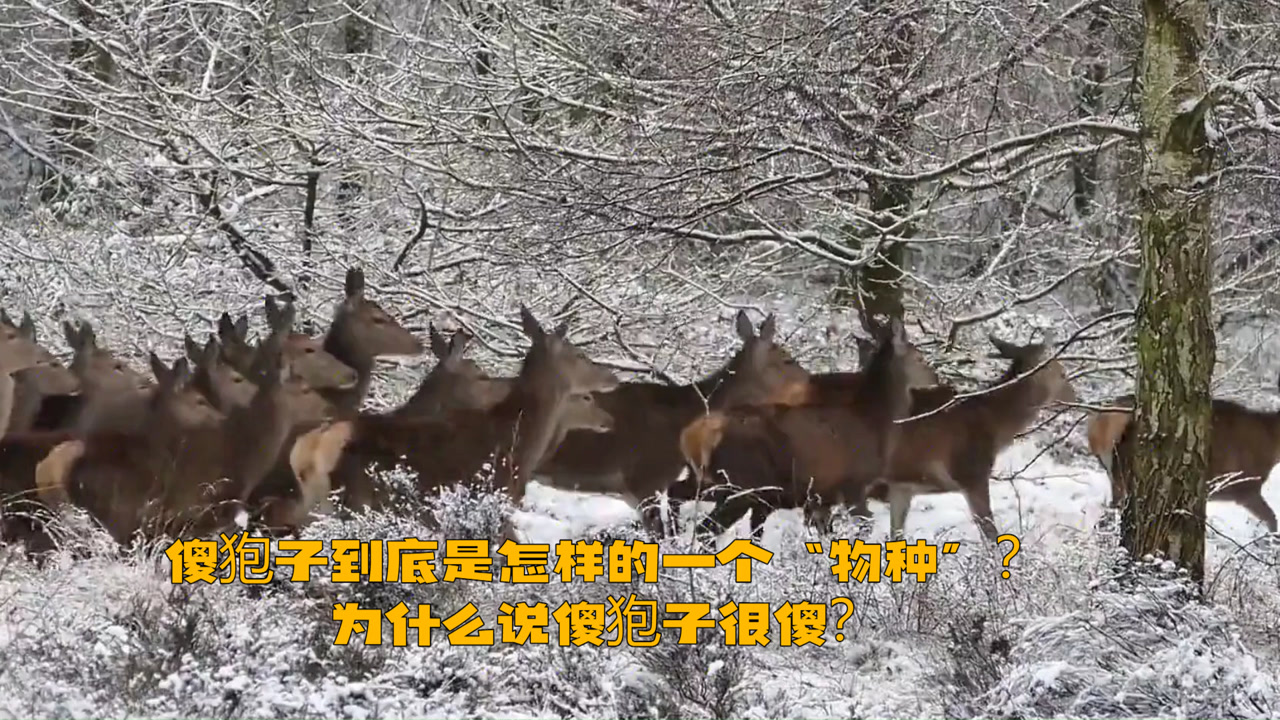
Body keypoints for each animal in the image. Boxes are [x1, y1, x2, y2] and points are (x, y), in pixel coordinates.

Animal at [283, 306, 621, 523]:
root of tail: (310, 450)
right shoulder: (495, 498)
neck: (519, 441)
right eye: (579, 354)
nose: (613, 376)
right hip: (357, 502)